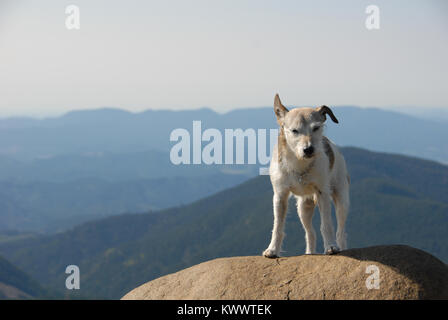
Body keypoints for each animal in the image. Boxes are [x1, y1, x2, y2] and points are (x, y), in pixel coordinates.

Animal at [262, 93, 350, 258]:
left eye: (316, 128)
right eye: (294, 130)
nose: (308, 149)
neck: (299, 163)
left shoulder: (322, 194)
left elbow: (326, 223)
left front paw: (330, 246)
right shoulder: (280, 196)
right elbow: (278, 226)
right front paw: (272, 249)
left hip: (341, 199)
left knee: (341, 231)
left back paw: (341, 246)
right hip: (304, 208)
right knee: (310, 233)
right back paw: (309, 252)